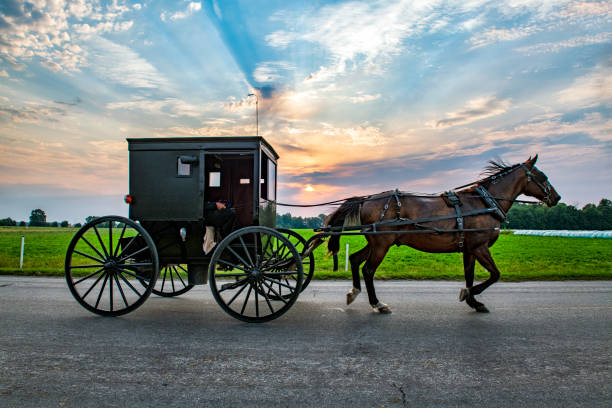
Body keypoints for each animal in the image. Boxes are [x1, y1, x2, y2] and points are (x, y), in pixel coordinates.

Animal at [326, 155, 560, 314]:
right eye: (543, 177)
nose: (556, 197)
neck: (484, 203)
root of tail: (367, 199)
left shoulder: (469, 249)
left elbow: (469, 275)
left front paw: (473, 300)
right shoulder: (480, 246)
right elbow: (495, 275)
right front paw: (469, 294)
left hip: (378, 243)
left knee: (355, 259)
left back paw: (354, 292)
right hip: (382, 244)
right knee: (368, 269)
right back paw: (377, 303)